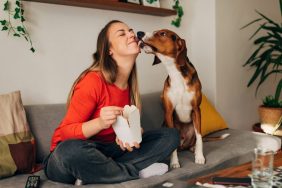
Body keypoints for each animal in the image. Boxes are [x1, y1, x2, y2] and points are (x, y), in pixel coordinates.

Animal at [137, 30, 205, 168]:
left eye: (163, 33)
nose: (139, 33)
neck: (175, 73)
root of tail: (183, 146)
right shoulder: (168, 112)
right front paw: (174, 162)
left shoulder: (196, 110)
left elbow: (199, 136)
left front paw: (200, 157)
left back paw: (194, 149)